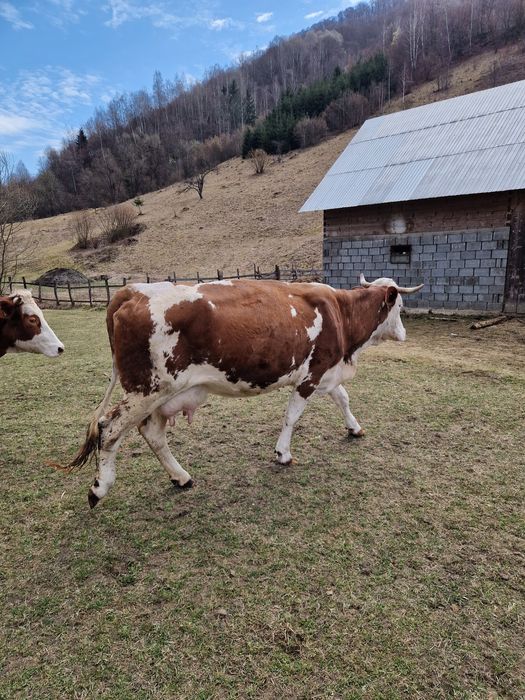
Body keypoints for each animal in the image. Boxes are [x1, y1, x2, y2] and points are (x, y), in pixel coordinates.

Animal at [62, 275, 422, 508]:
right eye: (400, 306)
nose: (405, 333)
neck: (341, 313)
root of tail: (132, 291)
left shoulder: (327, 373)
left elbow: (343, 398)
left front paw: (354, 428)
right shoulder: (312, 374)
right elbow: (292, 416)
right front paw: (283, 453)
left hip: (160, 394)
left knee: (151, 432)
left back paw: (181, 477)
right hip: (147, 389)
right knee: (110, 429)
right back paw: (99, 488)